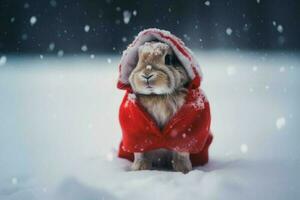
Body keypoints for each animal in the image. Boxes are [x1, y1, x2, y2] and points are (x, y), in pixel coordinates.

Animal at [128, 41, 193, 173]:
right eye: (138, 60)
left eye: (168, 59)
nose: (147, 75)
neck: (156, 96)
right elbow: (140, 152)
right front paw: (140, 169)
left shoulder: (184, 134)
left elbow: (182, 151)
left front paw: (184, 170)